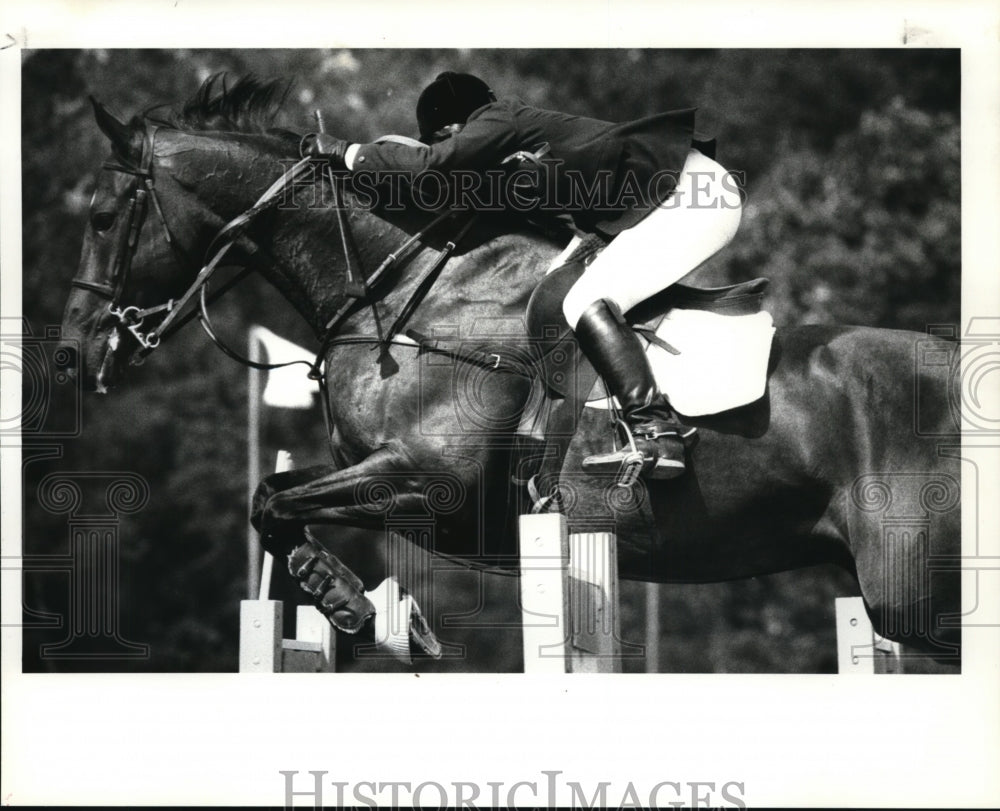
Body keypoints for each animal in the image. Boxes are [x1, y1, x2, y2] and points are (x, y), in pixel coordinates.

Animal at [56, 74, 960, 660]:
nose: (74, 354)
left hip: (910, 594)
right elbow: (270, 495)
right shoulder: (387, 474)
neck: (408, 293)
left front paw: (351, 603)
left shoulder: (432, 483)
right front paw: (358, 606)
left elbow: (276, 503)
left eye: (101, 216)